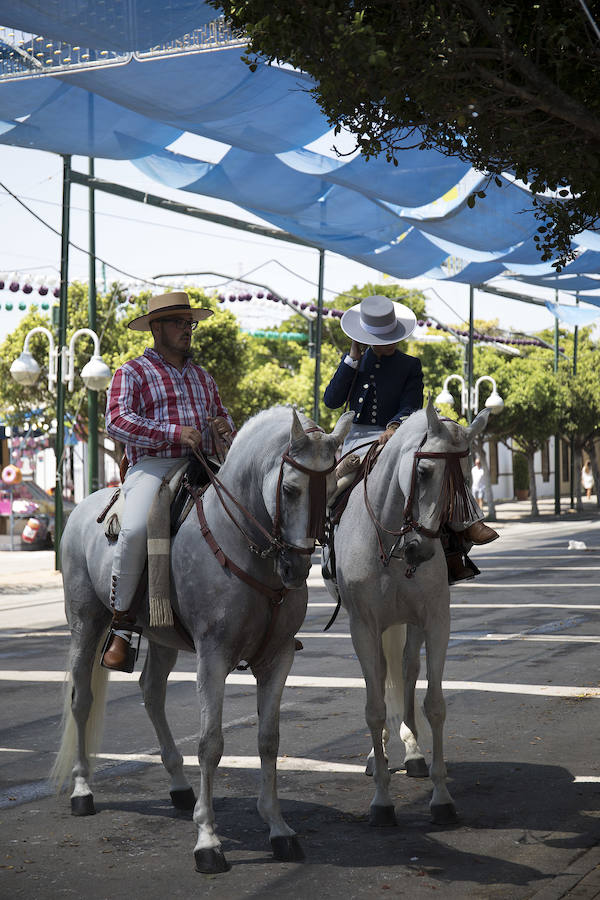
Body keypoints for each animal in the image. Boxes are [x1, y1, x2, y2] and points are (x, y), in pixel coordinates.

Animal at [51, 406, 354, 872]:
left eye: (334, 486)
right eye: (289, 488)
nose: (296, 568)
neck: (244, 546)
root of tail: (82, 508)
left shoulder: (278, 658)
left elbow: (269, 739)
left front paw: (279, 828)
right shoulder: (213, 656)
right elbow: (211, 743)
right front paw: (208, 840)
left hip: (160, 636)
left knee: (151, 692)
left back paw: (178, 785)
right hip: (86, 623)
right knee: (81, 698)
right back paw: (83, 790)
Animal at [326, 404, 490, 828]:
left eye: (465, 478)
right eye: (424, 471)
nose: (421, 550)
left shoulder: (435, 621)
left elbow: (434, 704)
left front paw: (442, 797)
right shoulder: (363, 627)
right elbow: (374, 708)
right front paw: (382, 801)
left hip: (410, 623)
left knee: (407, 670)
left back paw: (413, 752)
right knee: (385, 678)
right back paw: (378, 755)